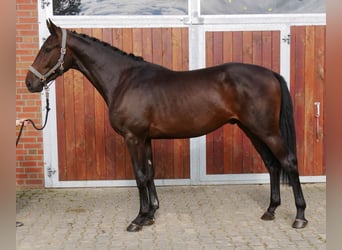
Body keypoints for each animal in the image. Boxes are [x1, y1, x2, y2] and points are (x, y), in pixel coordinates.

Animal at [24, 20, 308, 232]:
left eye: (47, 48)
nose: (29, 82)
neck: (124, 80)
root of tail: (270, 73)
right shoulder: (145, 138)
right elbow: (150, 174)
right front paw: (151, 214)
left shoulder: (133, 137)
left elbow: (139, 176)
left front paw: (138, 219)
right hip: (252, 130)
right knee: (272, 165)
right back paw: (270, 210)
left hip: (266, 131)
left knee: (288, 162)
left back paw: (300, 217)